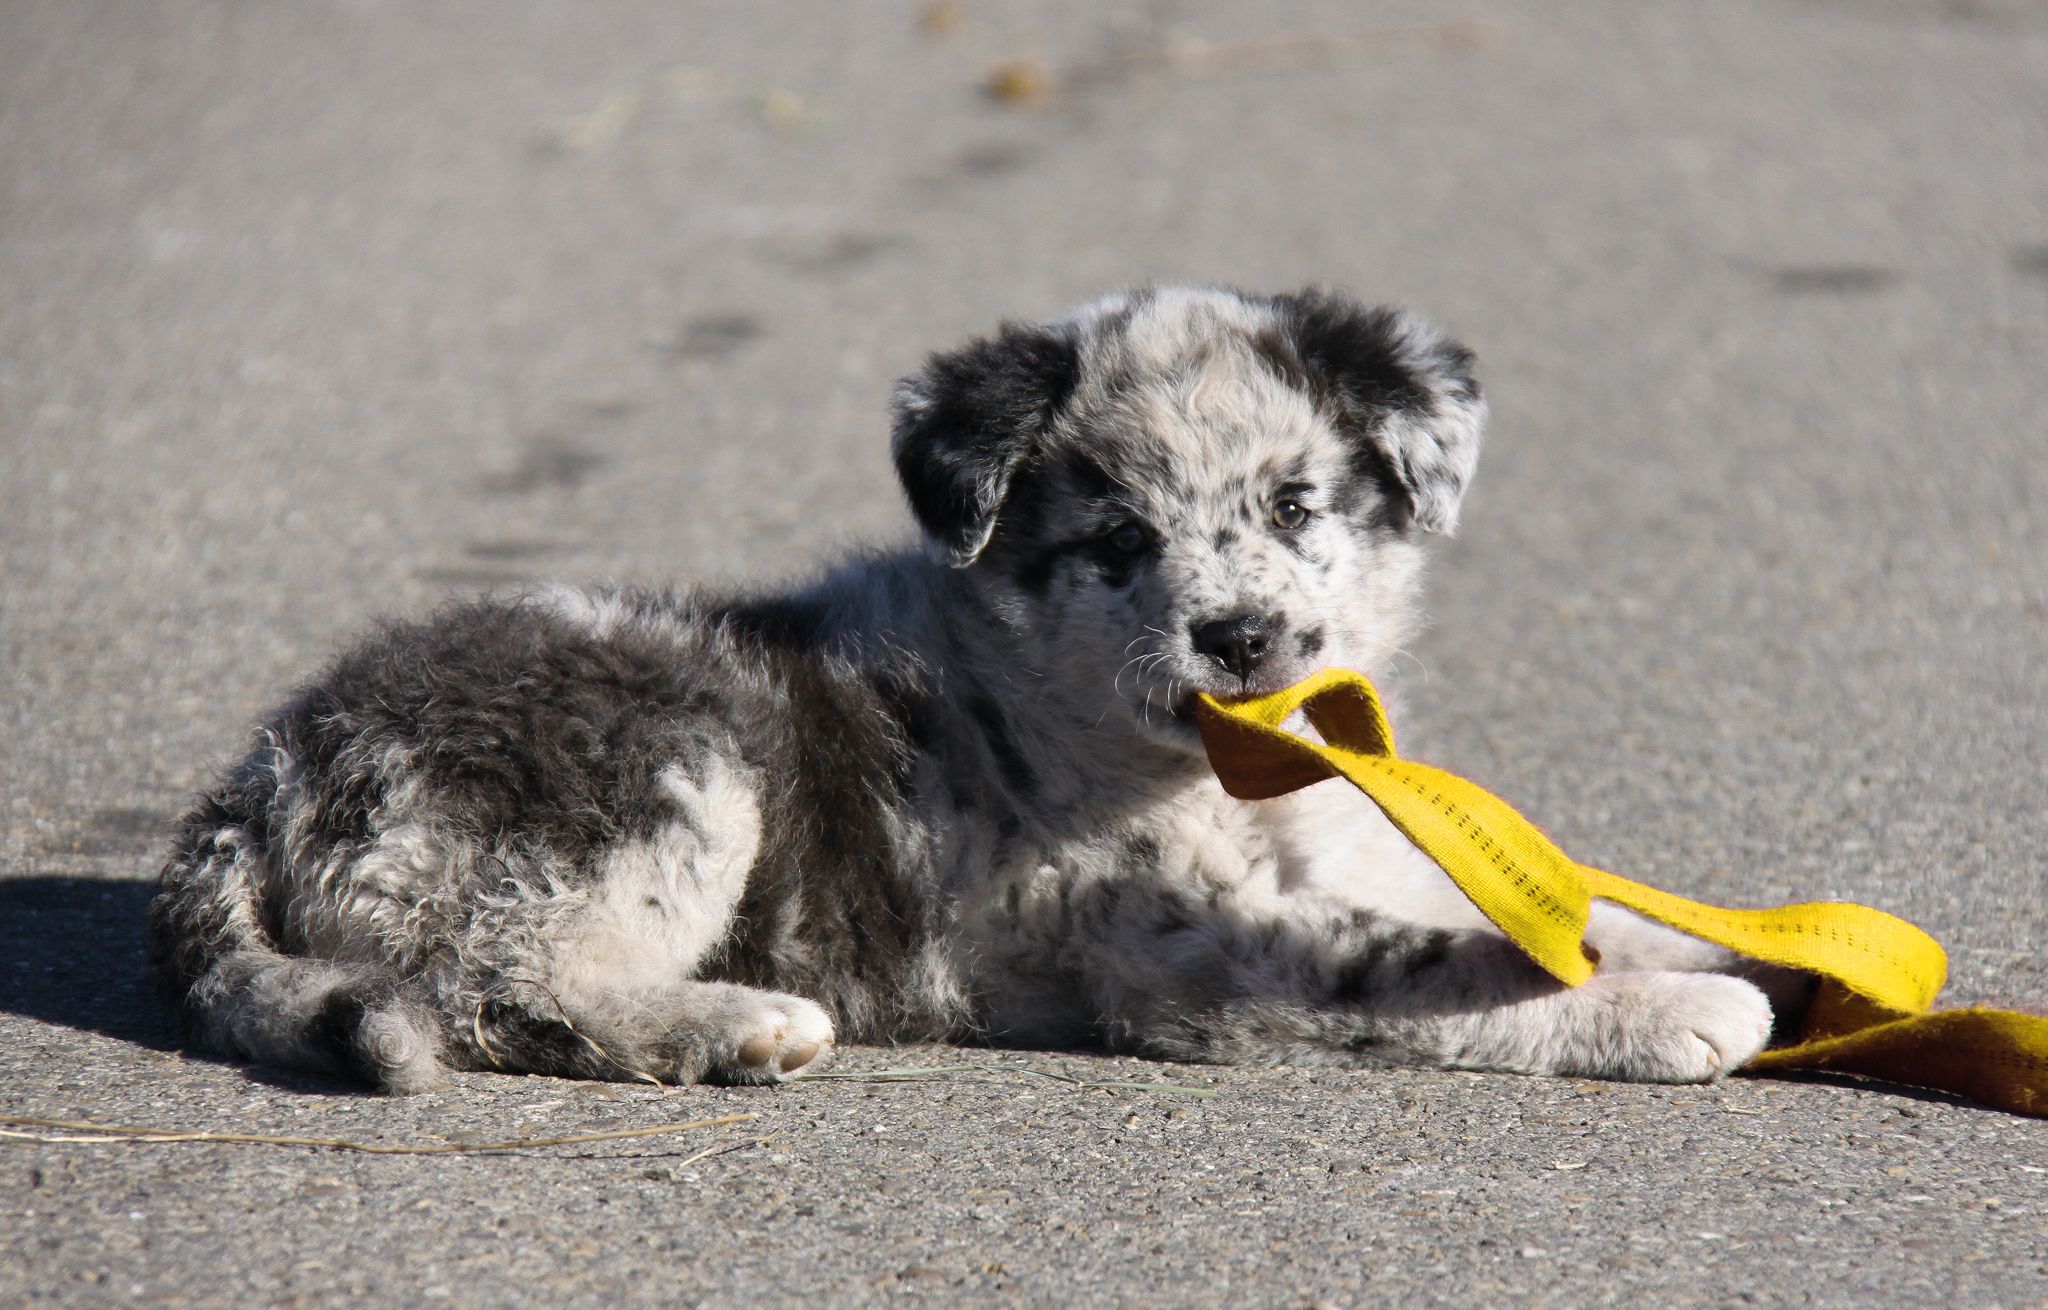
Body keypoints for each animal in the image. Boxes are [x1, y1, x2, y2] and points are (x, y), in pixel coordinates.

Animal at [151, 288, 1785, 1097]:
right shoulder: (1180, 954)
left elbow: (1569, 905)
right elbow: (1436, 968)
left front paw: (1752, 959)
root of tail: (268, 771)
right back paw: (737, 1026)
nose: (1241, 638)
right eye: (1118, 542)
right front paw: (1674, 1008)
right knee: (490, 985)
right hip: (662, 760)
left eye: (1297, 504)